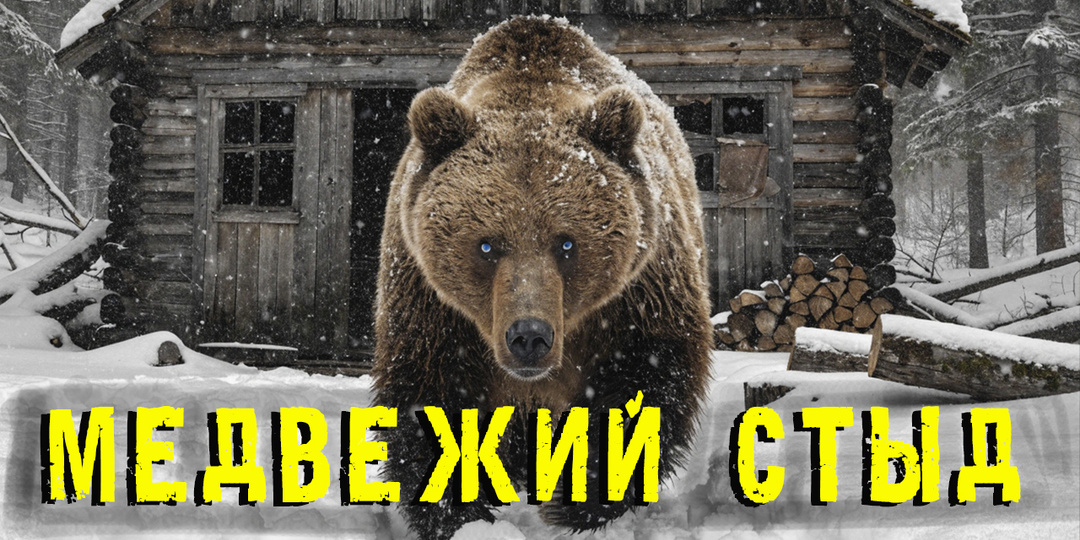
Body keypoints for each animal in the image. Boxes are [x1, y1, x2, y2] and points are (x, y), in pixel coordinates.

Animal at [372, 16, 712, 539]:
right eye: (487, 245)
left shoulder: (638, 291)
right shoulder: (431, 299)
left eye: (566, 243)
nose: (528, 336)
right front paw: (458, 509)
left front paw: (577, 498)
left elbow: (645, 380)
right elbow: (429, 391)